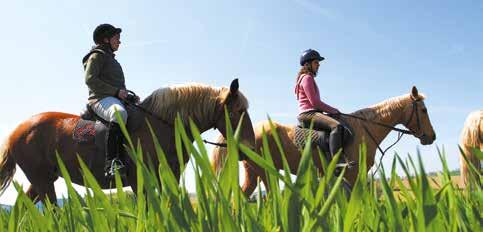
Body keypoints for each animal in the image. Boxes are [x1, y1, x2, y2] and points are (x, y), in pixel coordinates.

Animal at [0, 79, 258, 203]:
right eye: (237, 111)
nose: (249, 149)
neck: (158, 125)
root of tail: (16, 131)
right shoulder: (140, 179)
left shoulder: (167, 178)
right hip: (43, 181)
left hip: (43, 180)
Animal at [214, 86, 436, 197]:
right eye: (424, 110)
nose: (432, 137)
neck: (364, 128)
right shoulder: (354, 175)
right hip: (265, 173)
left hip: (253, 173)